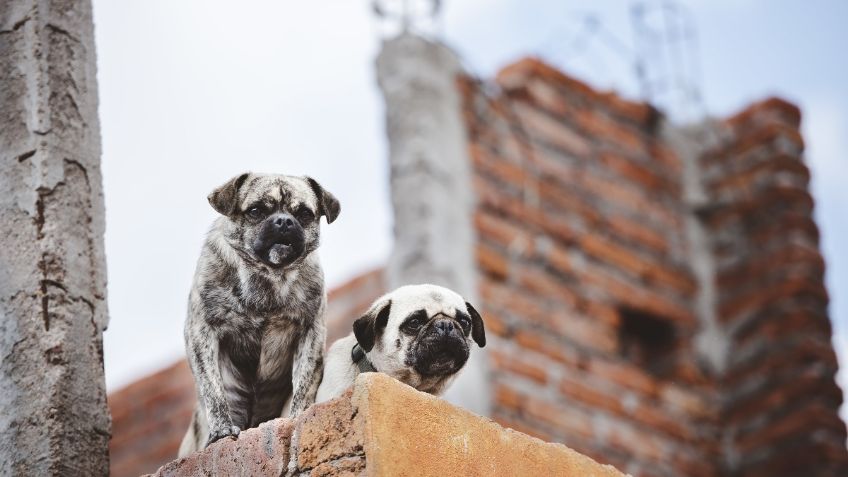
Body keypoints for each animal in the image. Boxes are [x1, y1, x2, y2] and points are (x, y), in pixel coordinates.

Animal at [181, 173, 340, 456]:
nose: (284, 221)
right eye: (256, 211)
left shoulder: (310, 334)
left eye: (304, 214)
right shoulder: (201, 332)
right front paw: (221, 431)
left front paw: (297, 417)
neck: (268, 274)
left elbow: (304, 385)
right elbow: (213, 390)